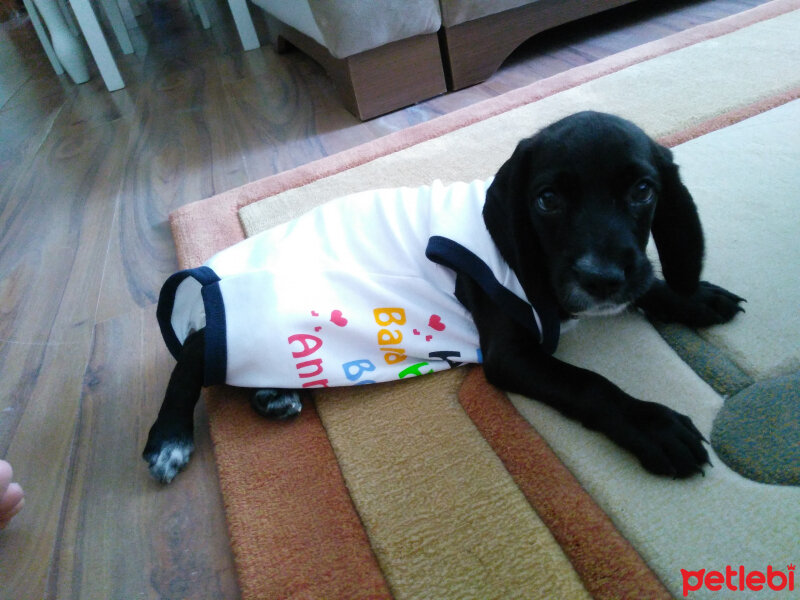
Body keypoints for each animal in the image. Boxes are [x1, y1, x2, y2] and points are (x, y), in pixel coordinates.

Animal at [142, 112, 744, 482]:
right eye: (547, 200)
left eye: (643, 191)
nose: (601, 279)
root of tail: (206, 278)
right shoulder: (513, 356)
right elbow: (591, 385)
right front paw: (652, 426)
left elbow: (650, 286)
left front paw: (693, 297)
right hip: (254, 314)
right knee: (191, 357)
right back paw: (168, 438)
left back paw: (272, 393)